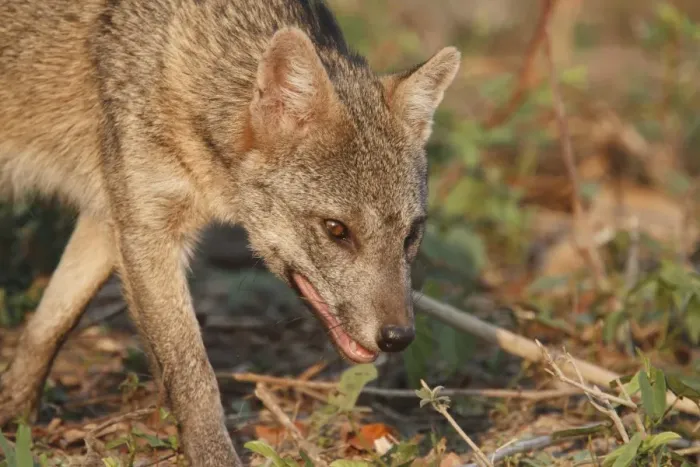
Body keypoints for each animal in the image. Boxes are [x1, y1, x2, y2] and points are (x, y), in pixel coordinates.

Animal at [0, 0, 460, 464]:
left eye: (412, 235)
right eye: (336, 230)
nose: (398, 337)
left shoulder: (109, 217)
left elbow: (47, 328)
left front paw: (14, 418)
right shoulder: (148, 229)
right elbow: (193, 375)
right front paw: (214, 455)